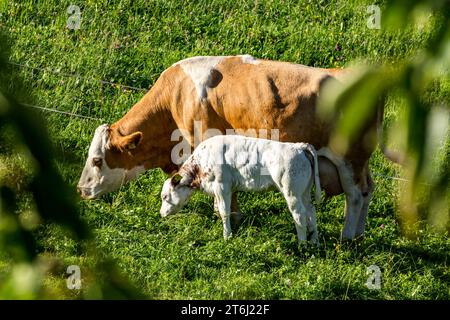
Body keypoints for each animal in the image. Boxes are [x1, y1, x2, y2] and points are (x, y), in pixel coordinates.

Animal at [160, 134, 322, 244]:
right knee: (311, 210)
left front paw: (227, 236)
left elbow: (224, 212)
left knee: (299, 214)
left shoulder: (222, 186)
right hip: (305, 192)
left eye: (165, 197)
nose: (161, 213)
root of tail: (298, 147)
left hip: (291, 192)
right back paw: (314, 241)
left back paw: (302, 244)